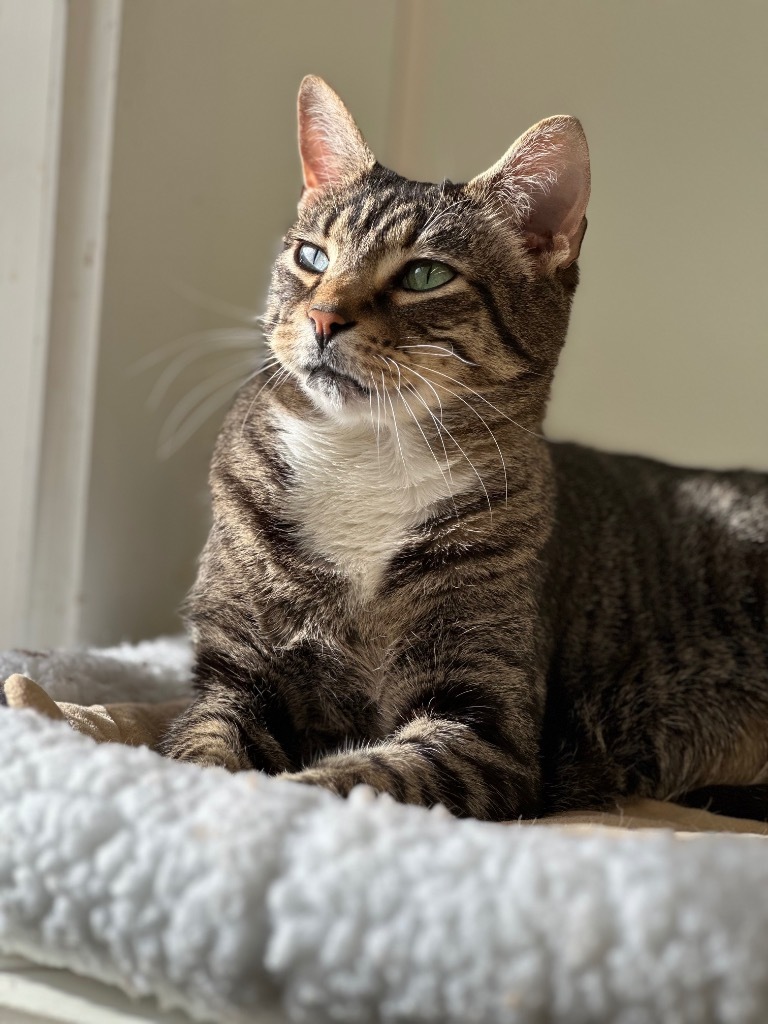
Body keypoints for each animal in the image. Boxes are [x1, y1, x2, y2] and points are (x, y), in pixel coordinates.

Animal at [159, 74, 765, 823]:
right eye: (312, 256)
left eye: (424, 275)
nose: (324, 317)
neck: (367, 461)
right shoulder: (235, 679)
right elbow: (201, 747)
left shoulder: (485, 724)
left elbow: (360, 775)